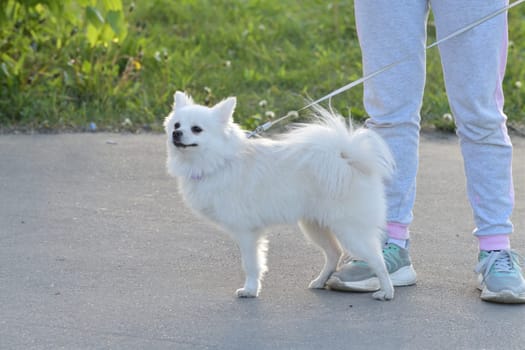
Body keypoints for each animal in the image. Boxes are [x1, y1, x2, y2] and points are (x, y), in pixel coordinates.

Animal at [164, 91, 392, 300]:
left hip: (350, 230)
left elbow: (251, 264)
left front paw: (250, 290)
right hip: (315, 226)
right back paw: (320, 281)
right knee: (334, 253)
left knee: (377, 259)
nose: (176, 134)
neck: (220, 161)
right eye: (176, 125)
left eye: (196, 129)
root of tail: (348, 159)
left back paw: (386, 291)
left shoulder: (247, 232)